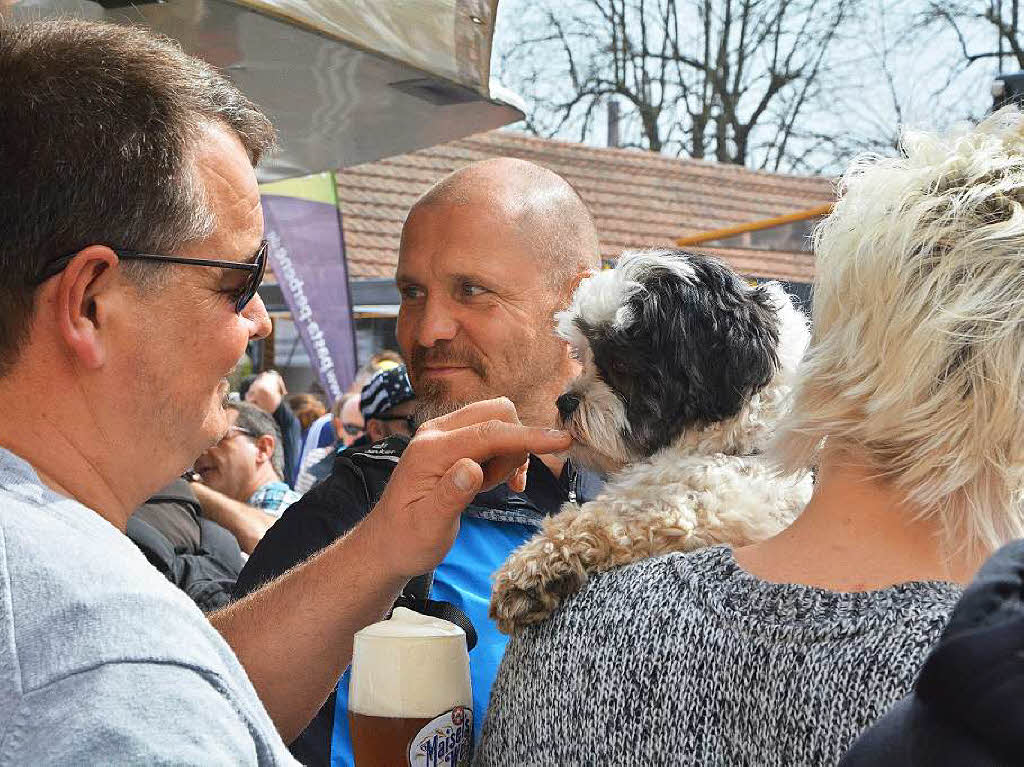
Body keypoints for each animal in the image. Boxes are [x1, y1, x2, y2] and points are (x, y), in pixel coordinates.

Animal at [491, 250, 811, 634]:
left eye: (618, 363)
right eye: (581, 357)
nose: (565, 402)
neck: (737, 445)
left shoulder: (720, 501)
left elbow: (618, 513)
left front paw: (531, 568)